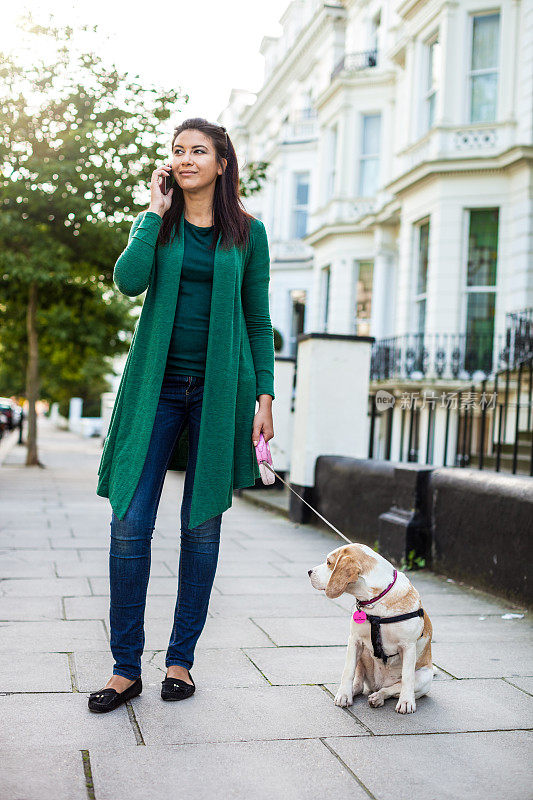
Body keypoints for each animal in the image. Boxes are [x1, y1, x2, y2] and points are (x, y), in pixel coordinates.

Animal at [308, 544, 432, 712]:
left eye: (329, 563)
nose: (309, 572)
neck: (376, 599)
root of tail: (377, 685)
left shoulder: (408, 647)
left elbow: (407, 678)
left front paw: (406, 701)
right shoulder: (354, 641)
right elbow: (348, 671)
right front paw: (344, 694)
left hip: (424, 677)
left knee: (393, 689)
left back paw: (379, 696)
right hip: (363, 656)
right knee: (360, 684)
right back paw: (356, 691)